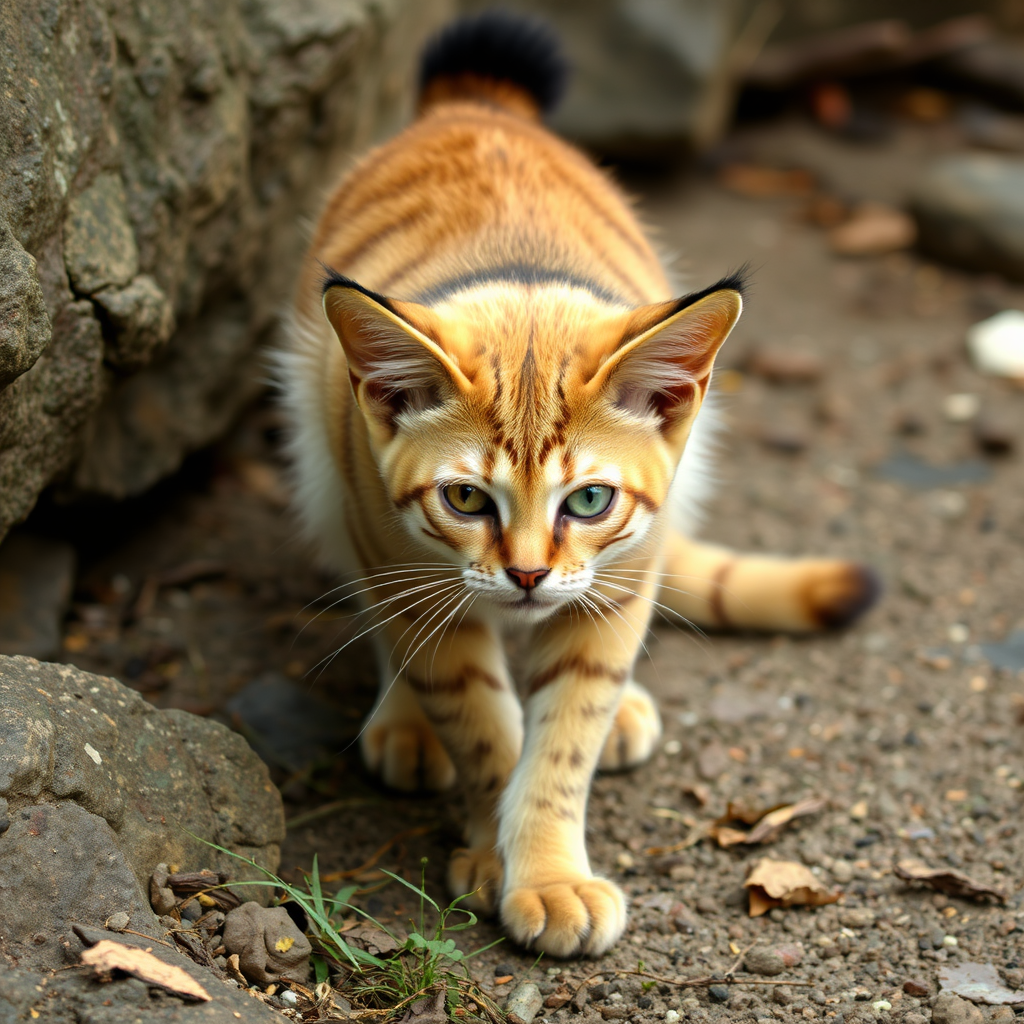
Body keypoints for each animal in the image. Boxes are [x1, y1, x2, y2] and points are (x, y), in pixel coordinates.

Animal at [278, 14, 872, 958]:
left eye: (588, 500)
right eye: (466, 499)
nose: (526, 575)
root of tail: (475, 104)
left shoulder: (620, 583)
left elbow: (561, 743)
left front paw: (547, 868)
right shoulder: (404, 562)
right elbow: (486, 728)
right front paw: (504, 855)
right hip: (321, 459)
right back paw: (402, 719)